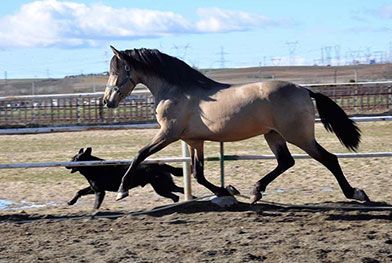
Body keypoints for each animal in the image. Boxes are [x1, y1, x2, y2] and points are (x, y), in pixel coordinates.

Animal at [102, 46, 370, 204]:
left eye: (117, 70)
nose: (107, 101)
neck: (177, 91)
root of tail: (304, 90)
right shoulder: (194, 141)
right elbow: (198, 173)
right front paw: (226, 190)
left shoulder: (168, 134)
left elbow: (139, 154)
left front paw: (122, 190)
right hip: (273, 135)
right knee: (286, 161)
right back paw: (256, 191)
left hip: (298, 136)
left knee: (329, 159)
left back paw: (356, 193)